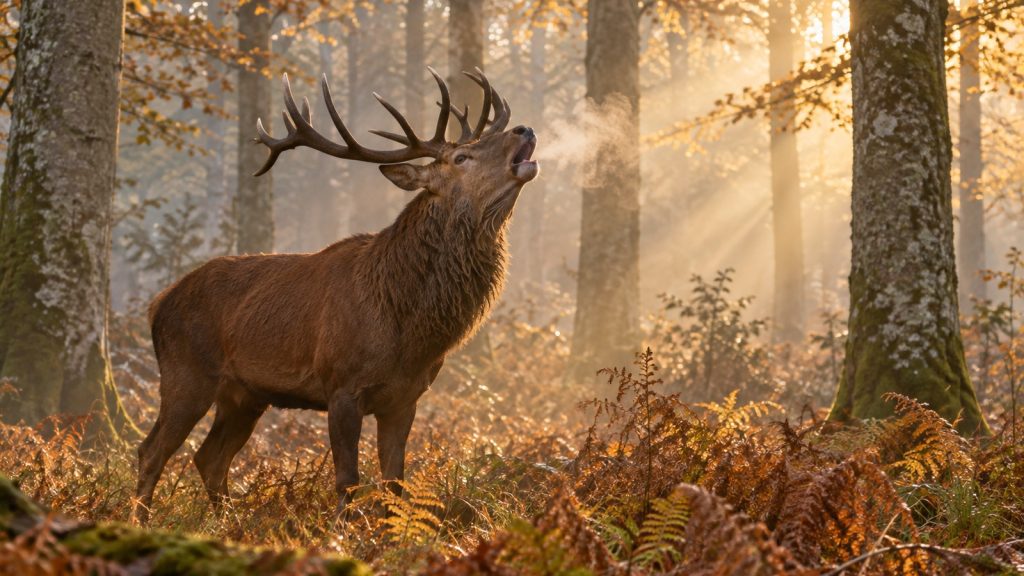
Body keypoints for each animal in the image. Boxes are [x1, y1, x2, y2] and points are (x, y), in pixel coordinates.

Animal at [133, 67, 538, 522]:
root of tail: (158, 304)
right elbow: (348, 481)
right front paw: (343, 532)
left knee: (209, 458)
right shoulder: (341, 385)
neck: (407, 327)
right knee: (151, 451)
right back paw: (141, 520)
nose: (524, 128)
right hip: (186, 374)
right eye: (461, 158)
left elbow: (394, 483)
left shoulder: (406, 397)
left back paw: (226, 521)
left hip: (243, 395)